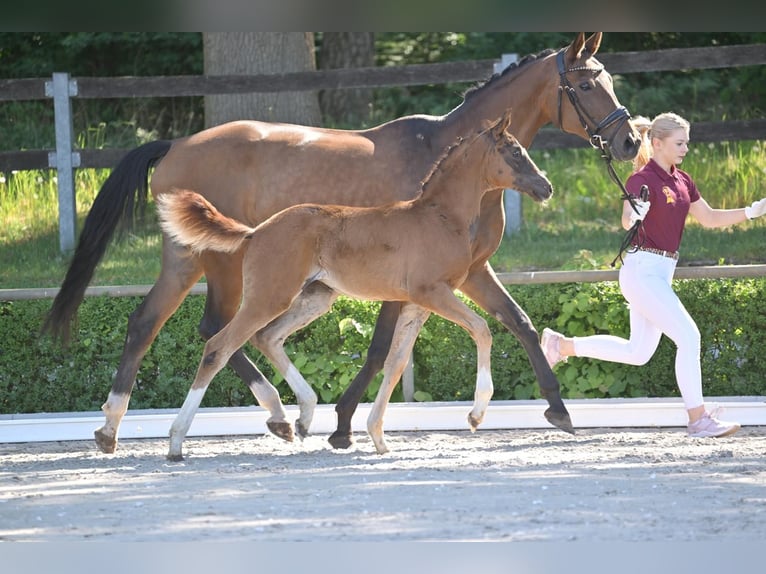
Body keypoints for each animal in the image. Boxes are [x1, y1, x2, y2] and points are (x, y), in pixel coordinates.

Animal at [158, 111, 554, 459]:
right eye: (515, 152)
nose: (546, 186)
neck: (441, 217)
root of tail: (256, 232)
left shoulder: (417, 305)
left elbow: (396, 364)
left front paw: (377, 437)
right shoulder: (432, 292)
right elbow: (482, 330)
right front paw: (475, 414)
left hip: (314, 297)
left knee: (267, 337)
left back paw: (302, 417)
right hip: (269, 296)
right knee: (218, 347)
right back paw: (177, 442)